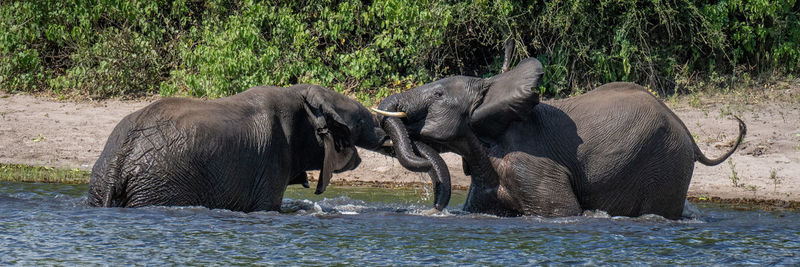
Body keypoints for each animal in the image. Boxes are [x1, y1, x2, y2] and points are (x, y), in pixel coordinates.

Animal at [88, 85, 390, 213]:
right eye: (356, 123)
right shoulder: (273, 158)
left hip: (101, 181)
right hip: (160, 185)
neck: (301, 96)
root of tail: (119, 162)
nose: (385, 136)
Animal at [372, 57, 748, 219]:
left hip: (666, 164)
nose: (434, 207)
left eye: (437, 95)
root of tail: (689, 133)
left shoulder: (529, 164)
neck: (493, 86)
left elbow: (564, 211)